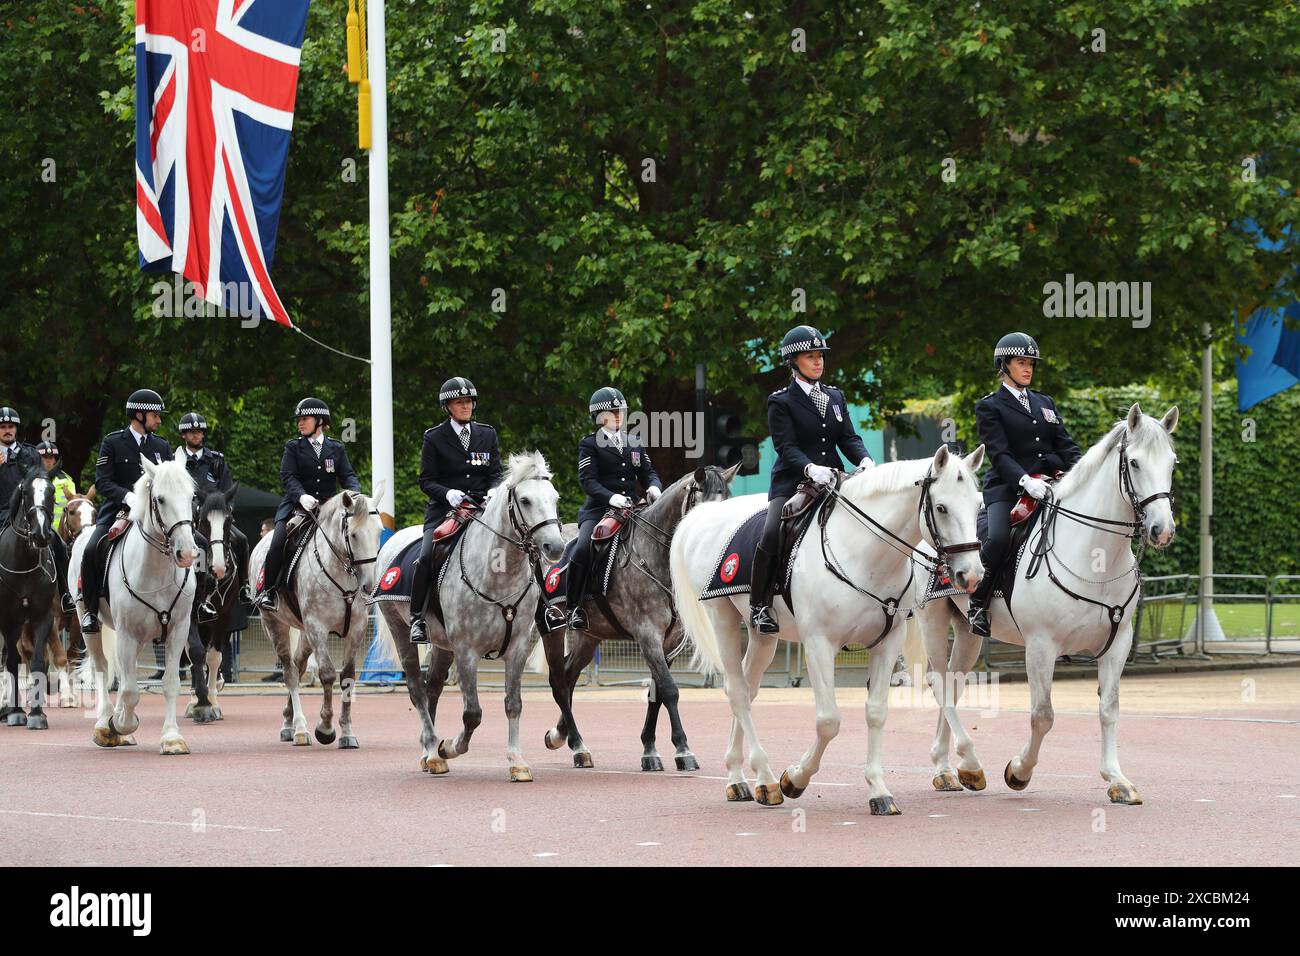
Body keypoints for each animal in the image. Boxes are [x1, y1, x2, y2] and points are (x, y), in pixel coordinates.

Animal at [71, 455, 200, 754]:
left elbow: (170, 683)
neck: (157, 571)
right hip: (88, 622)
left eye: (192, 496)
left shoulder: (177, 631)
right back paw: (104, 723)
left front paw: (171, 737)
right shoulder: (127, 634)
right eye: (160, 499)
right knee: (102, 668)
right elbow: (129, 690)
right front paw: (119, 724)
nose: (187, 553)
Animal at [245, 486, 382, 749]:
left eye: (380, 531)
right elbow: (327, 673)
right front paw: (325, 728)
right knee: (289, 673)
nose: (369, 586)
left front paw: (347, 732)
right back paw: (299, 729)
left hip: (305, 633)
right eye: (354, 535)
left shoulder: (356, 629)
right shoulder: (318, 627)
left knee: (298, 666)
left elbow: (348, 676)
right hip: (275, 625)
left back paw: (289, 722)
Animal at [670, 447, 982, 816]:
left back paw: (742, 777)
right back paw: (765, 778)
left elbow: (876, 713)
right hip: (722, 618)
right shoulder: (819, 644)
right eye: (942, 507)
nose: (972, 575)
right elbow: (829, 721)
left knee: (748, 687)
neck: (863, 551)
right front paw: (795, 778)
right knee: (737, 692)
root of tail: (704, 515)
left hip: (763, 635)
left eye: (978, 504)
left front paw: (878, 790)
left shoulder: (887, 644)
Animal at [915, 400, 1180, 806]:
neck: (1095, 557)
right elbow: (1043, 715)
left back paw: (952, 768)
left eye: (1172, 463)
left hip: (968, 631)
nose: (1161, 530)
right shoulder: (1041, 646)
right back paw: (956, 767)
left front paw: (1116, 779)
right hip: (932, 618)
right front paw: (1019, 771)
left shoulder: (1117, 643)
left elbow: (1109, 710)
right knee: (939, 681)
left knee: (954, 682)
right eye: (1134, 463)